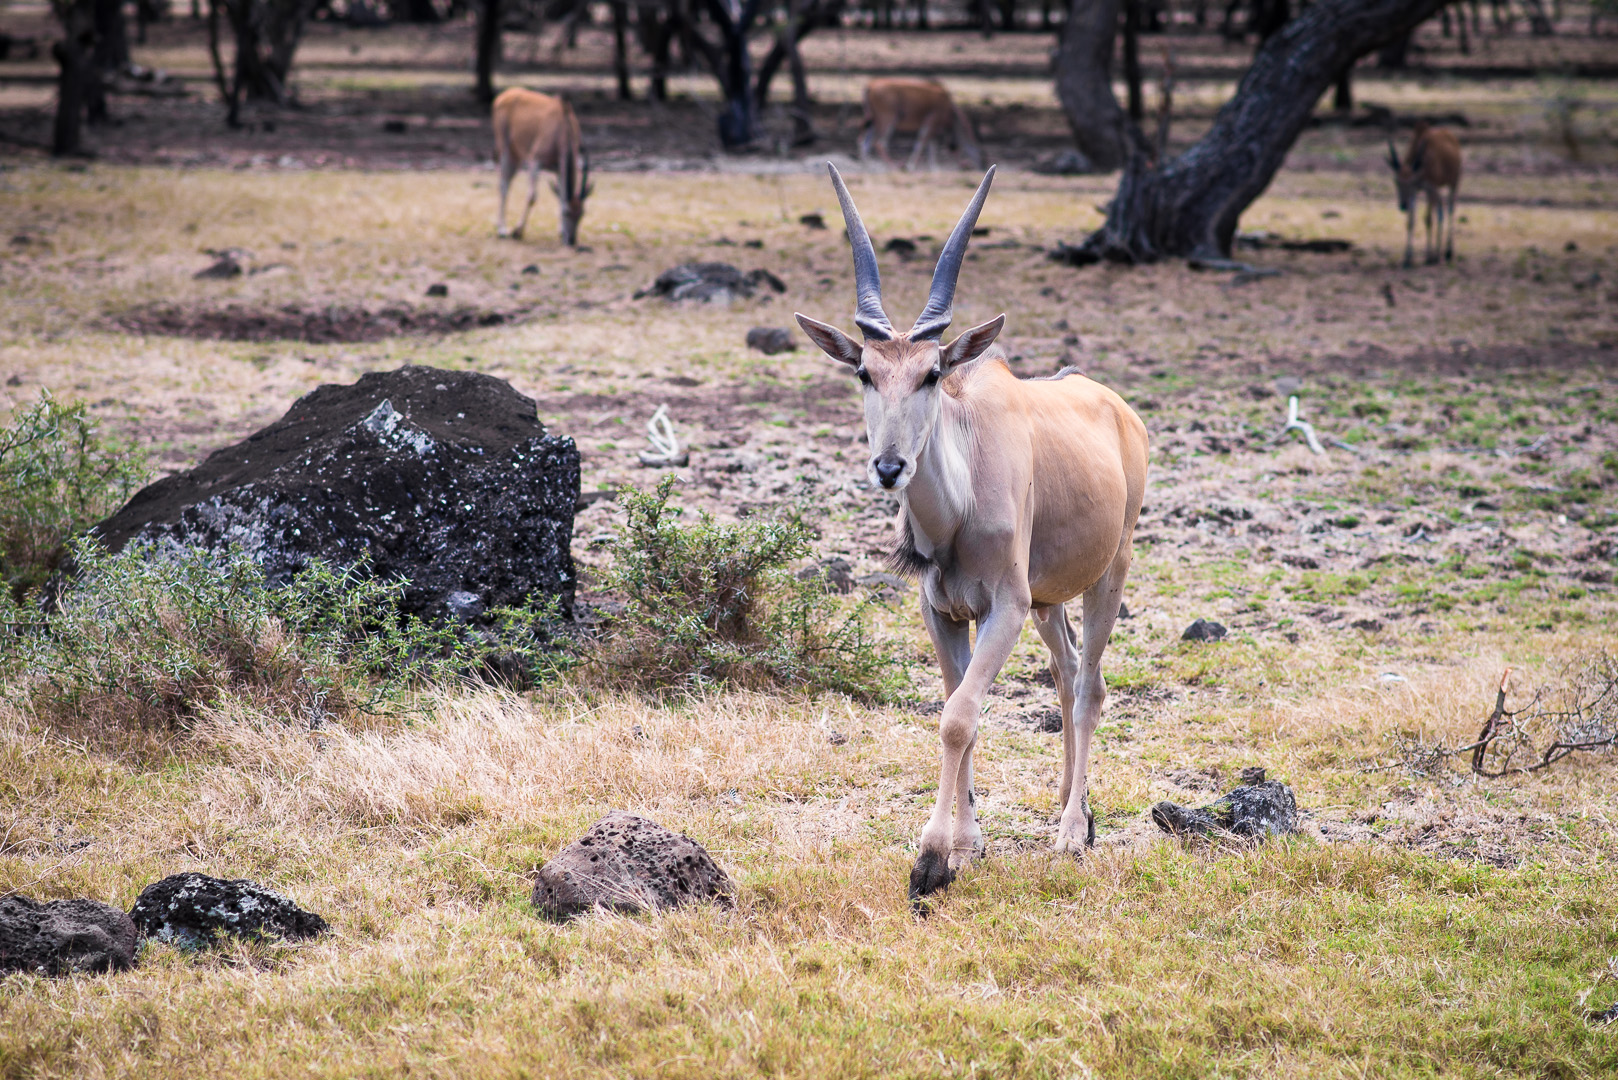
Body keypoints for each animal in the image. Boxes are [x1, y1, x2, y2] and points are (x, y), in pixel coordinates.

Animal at [495, 87, 598, 247]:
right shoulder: (535, 161)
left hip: (516, 155)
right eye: (566, 213)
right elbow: (532, 196)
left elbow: (561, 196)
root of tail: (505, 95)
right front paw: (517, 231)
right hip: (505, 149)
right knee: (503, 185)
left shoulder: (559, 168)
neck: (563, 126)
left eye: (582, 213)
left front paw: (561, 232)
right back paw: (502, 230)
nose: (572, 240)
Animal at [796, 162, 1152, 906]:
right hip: (1047, 602)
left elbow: (959, 716)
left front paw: (931, 861)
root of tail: (1119, 410)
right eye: (865, 371)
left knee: (1090, 688)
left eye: (932, 372)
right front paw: (968, 842)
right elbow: (961, 709)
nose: (889, 466)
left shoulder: (1003, 610)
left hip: (1108, 574)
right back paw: (1074, 809)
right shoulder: (945, 613)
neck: (957, 509)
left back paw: (1071, 833)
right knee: (1065, 672)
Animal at [1385, 119, 1462, 267]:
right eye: (1397, 182)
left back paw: (1448, 252)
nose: (1403, 205)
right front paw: (1408, 258)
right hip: (1438, 191)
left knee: (1450, 210)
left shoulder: (1429, 187)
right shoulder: (1417, 191)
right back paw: (1438, 253)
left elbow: (1428, 219)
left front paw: (1428, 257)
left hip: (1453, 183)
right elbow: (1411, 221)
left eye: (1410, 182)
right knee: (1441, 212)